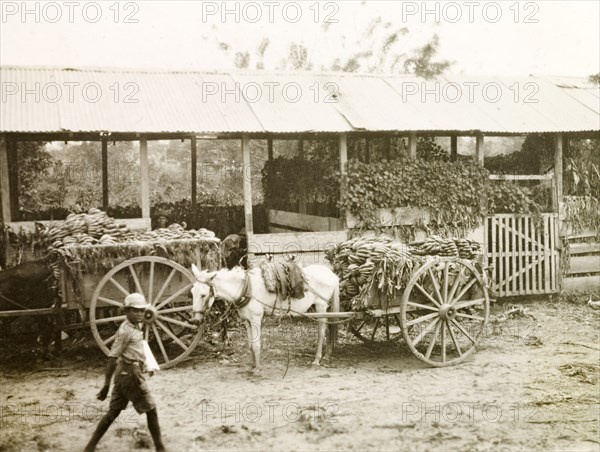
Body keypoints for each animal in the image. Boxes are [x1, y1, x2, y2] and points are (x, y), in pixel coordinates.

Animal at [192, 264, 342, 372]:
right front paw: (251, 366)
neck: (247, 288)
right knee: (330, 327)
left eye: (203, 295)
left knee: (321, 332)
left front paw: (257, 369)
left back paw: (317, 359)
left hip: (321, 306)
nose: (195, 320)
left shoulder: (256, 319)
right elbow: (250, 344)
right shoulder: (247, 321)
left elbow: (256, 345)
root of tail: (332, 274)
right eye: (192, 292)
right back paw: (327, 355)